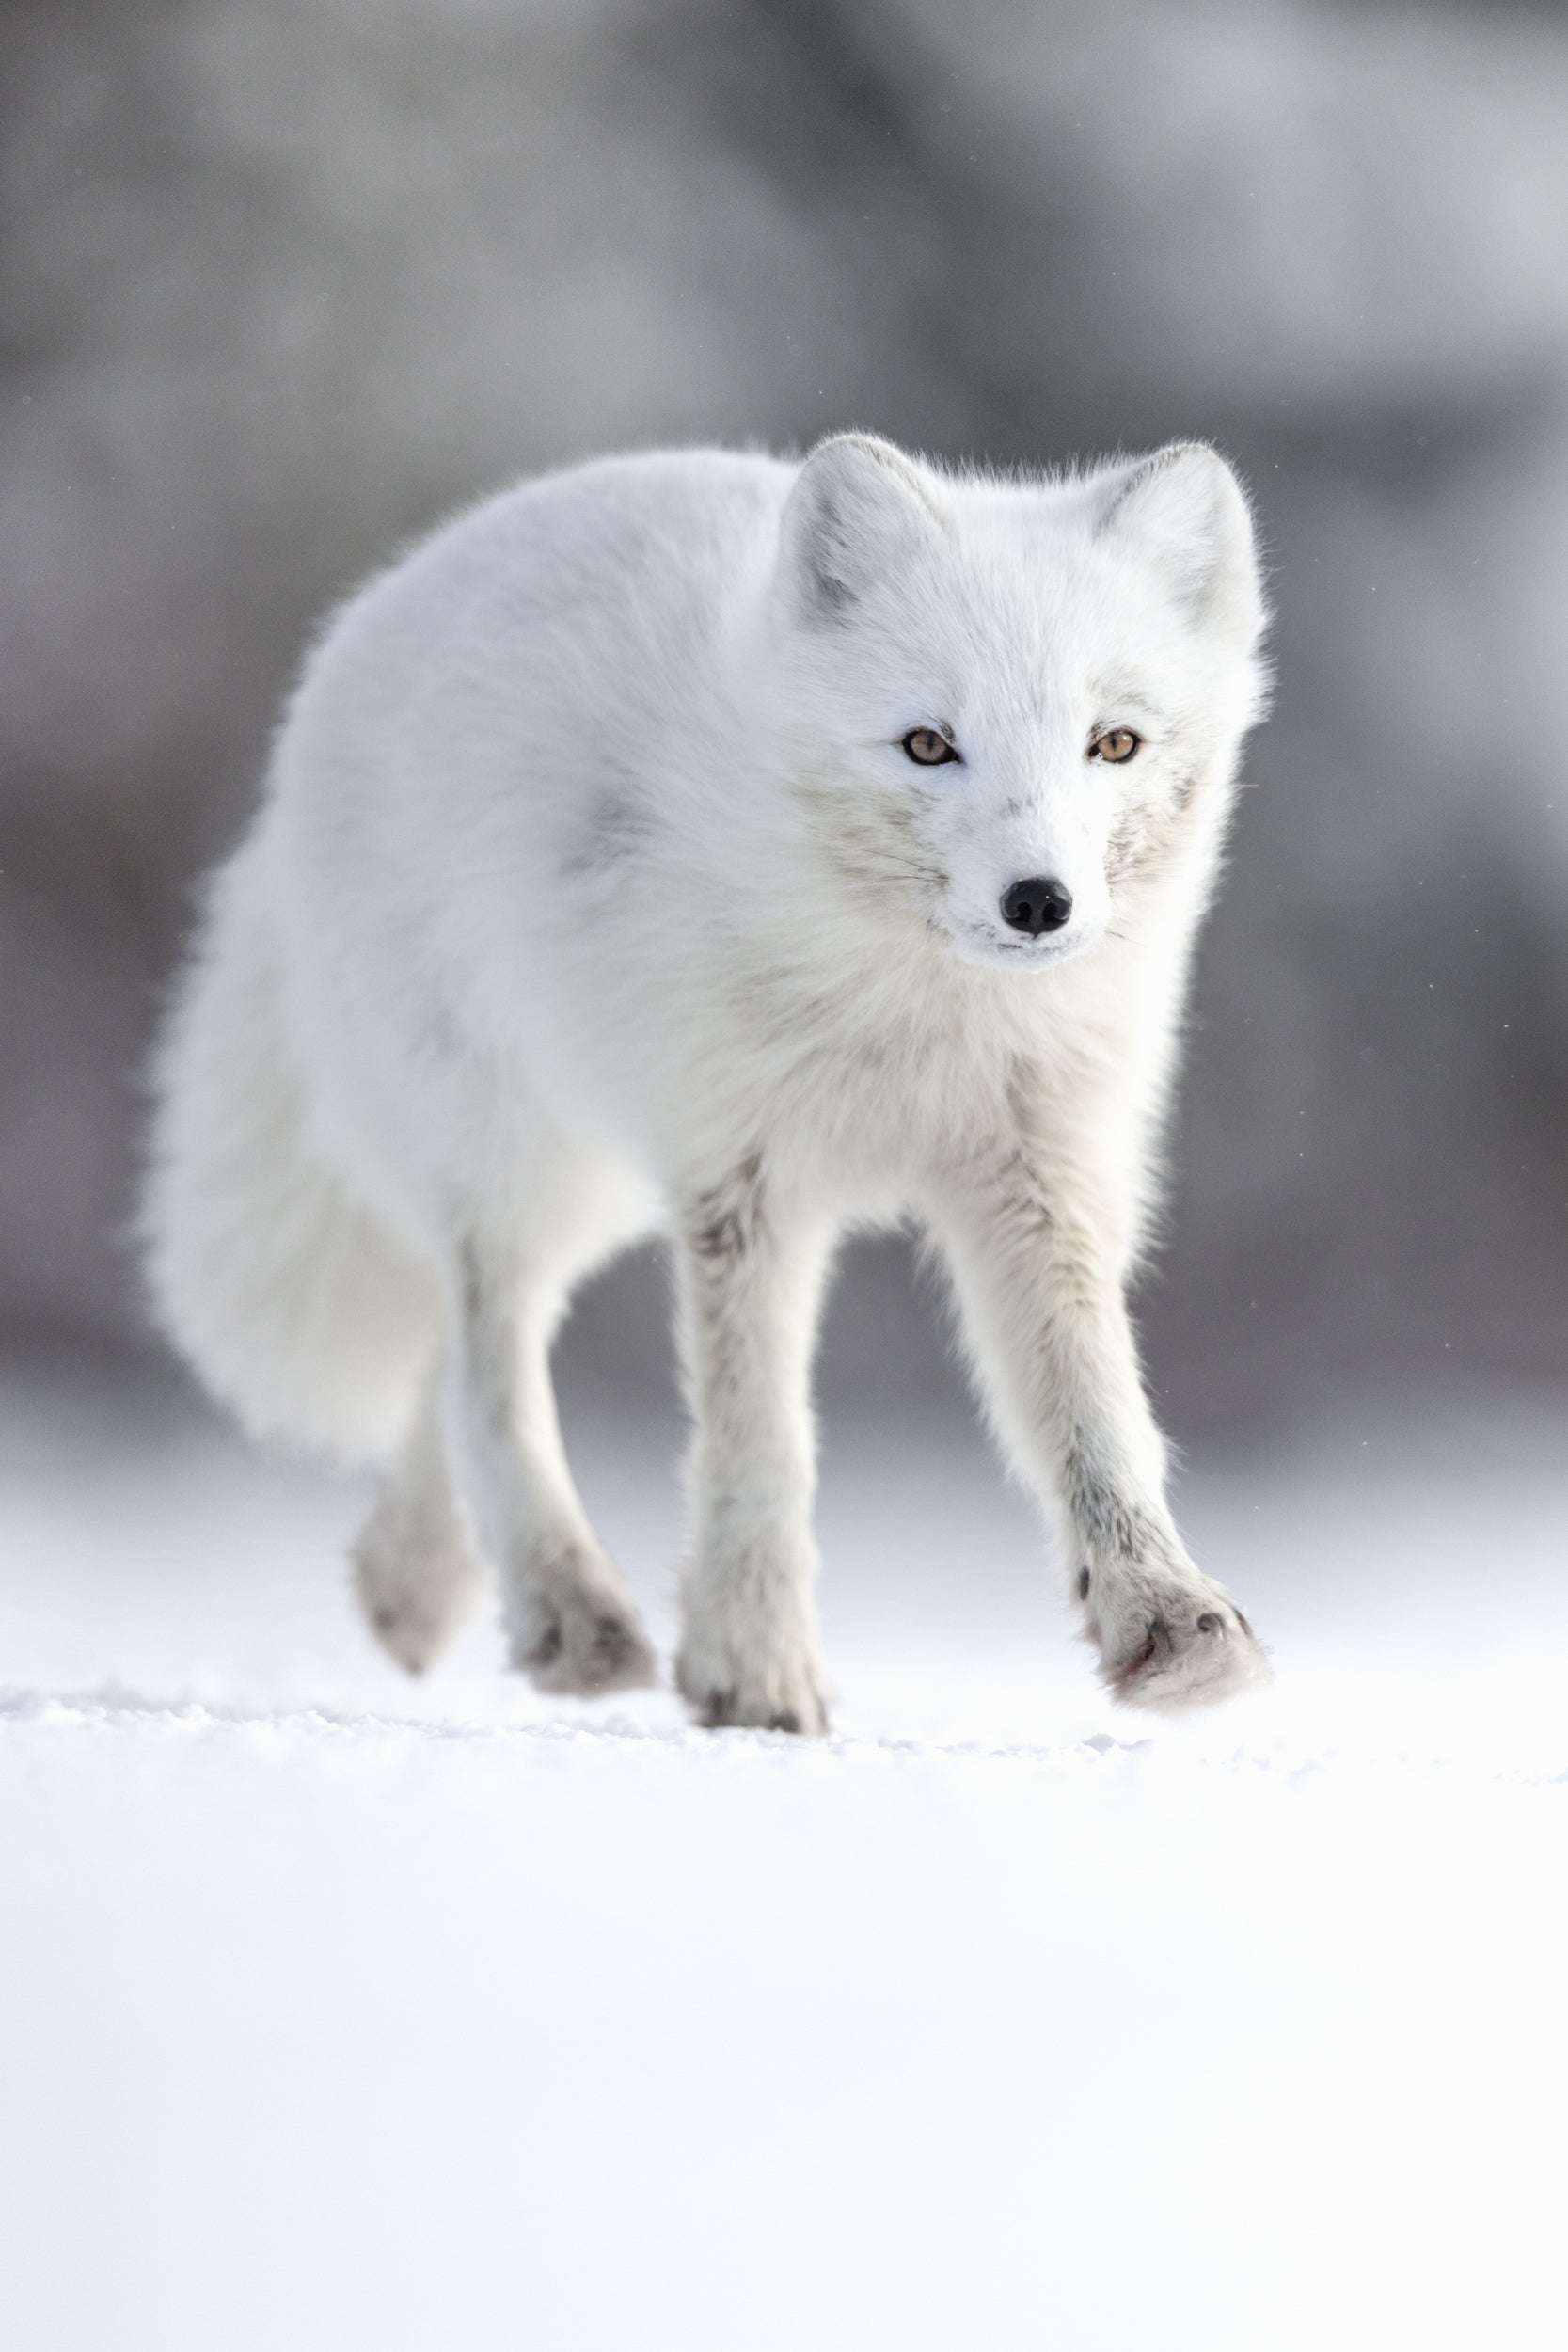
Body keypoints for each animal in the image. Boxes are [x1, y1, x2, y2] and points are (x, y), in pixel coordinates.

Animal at [142, 432, 1273, 1731]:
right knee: (484, 1367)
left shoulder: (1040, 1182)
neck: (919, 1016)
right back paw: (565, 1613)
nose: (1038, 902)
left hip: (606, 1184)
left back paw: (413, 1585)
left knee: (441, 1369)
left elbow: (1096, 1420)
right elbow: (758, 1445)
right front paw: (754, 1672)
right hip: (516, 1162)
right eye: (928, 744)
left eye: (1114, 742)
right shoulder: (743, 1182)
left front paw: (1165, 1620)